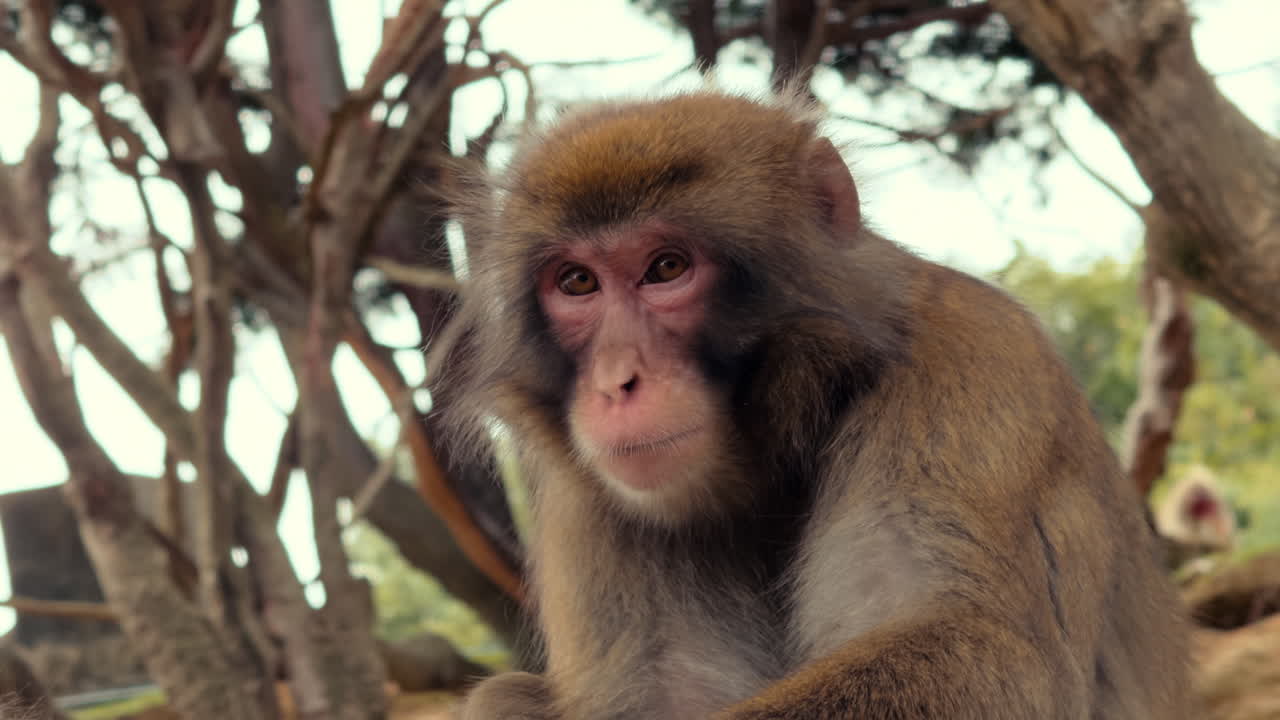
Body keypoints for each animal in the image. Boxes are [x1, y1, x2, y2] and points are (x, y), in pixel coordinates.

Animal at [434, 90, 1193, 719]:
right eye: (577, 282)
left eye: (666, 268)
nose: (618, 380)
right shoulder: (591, 498)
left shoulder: (971, 364)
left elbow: (985, 652)